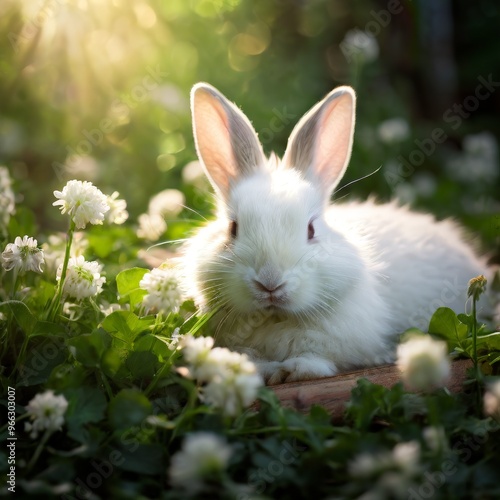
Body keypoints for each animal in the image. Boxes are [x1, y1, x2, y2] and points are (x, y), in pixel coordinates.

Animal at [182, 84, 494, 384]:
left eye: (311, 230)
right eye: (233, 228)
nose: (270, 283)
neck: (275, 318)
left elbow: (318, 356)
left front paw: (298, 369)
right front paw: (266, 372)